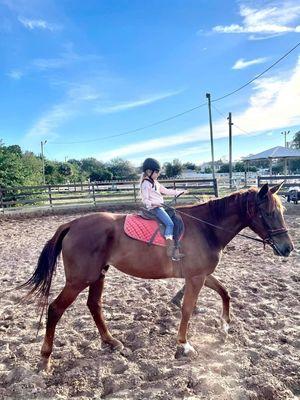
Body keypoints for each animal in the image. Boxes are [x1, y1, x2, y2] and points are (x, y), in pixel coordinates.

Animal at [20, 183, 292, 370]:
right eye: (268, 213)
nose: (287, 248)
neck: (206, 227)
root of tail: (73, 224)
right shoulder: (195, 278)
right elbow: (187, 309)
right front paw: (184, 345)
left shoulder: (201, 275)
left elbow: (225, 293)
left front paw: (225, 325)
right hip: (79, 280)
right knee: (55, 309)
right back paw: (45, 359)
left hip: (98, 275)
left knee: (94, 305)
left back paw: (112, 342)